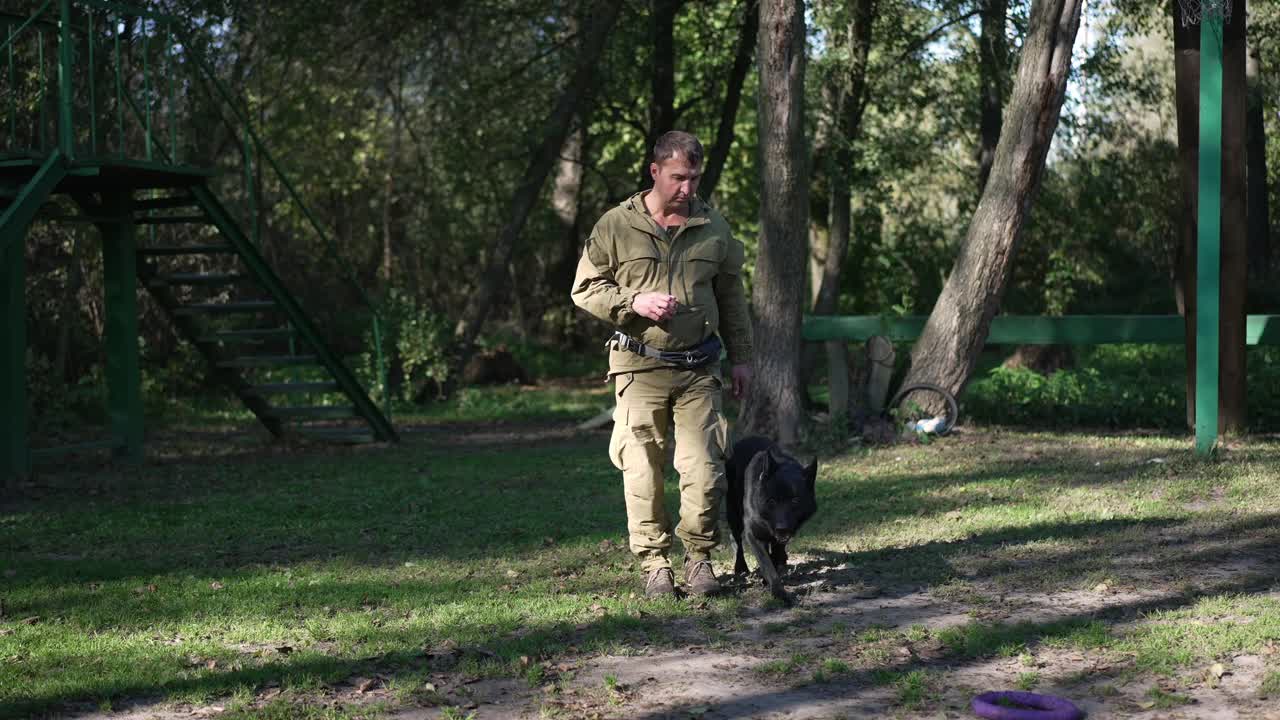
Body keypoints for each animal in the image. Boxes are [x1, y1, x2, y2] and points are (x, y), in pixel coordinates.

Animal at [727, 435, 814, 602]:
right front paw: (778, 592)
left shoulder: (782, 536)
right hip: (734, 515)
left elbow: (775, 553)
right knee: (736, 539)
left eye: (795, 501)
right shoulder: (753, 534)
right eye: (771, 501)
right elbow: (766, 563)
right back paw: (740, 567)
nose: (782, 527)